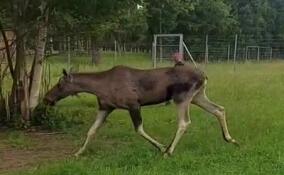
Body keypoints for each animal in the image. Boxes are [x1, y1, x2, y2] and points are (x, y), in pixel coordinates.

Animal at [43, 64, 237, 157]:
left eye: (60, 84)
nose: (46, 98)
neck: (99, 88)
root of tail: (204, 76)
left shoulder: (133, 104)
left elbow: (139, 129)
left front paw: (161, 147)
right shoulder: (106, 107)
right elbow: (91, 131)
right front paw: (78, 152)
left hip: (182, 98)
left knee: (184, 122)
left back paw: (169, 151)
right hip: (197, 96)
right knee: (219, 109)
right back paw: (230, 139)